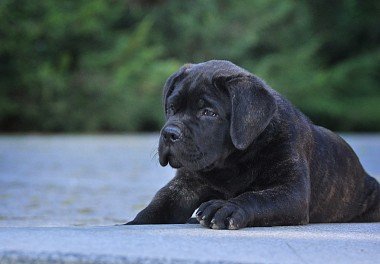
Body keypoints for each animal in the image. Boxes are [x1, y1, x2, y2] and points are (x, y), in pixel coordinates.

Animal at [128, 59, 380, 229]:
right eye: (171, 108)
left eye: (208, 112)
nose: (169, 133)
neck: (230, 164)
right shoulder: (186, 185)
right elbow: (158, 205)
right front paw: (133, 223)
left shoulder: (291, 190)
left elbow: (257, 196)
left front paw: (226, 207)